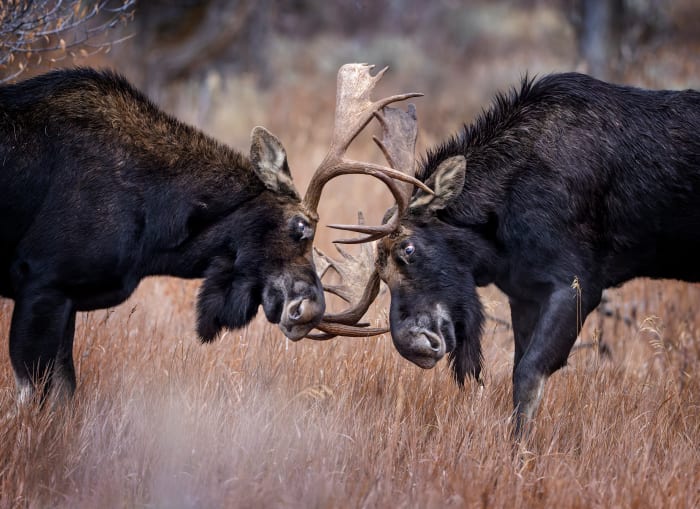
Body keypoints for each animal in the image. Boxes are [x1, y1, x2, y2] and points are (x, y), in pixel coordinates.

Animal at [2, 63, 424, 402]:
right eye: (300, 226)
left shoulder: (66, 298)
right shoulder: (46, 284)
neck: (155, 229)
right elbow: (41, 396)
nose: (308, 310)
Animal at [322, 71, 700, 436]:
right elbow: (518, 374)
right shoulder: (524, 294)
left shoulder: (579, 283)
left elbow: (529, 375)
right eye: (382, 275)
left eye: (408, 248)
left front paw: (523, 453)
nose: (412, 345)